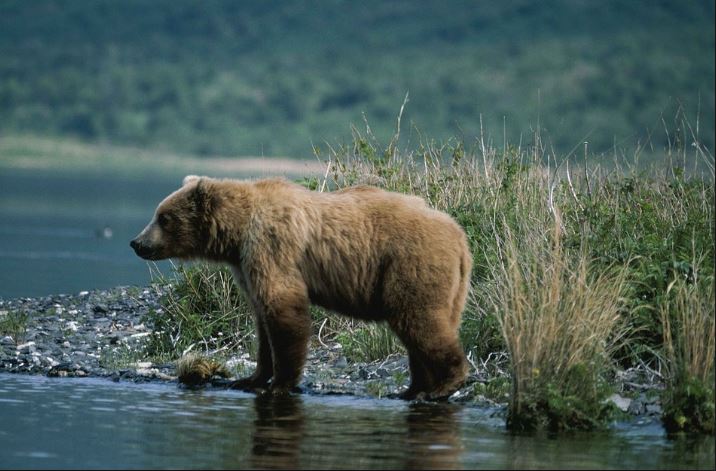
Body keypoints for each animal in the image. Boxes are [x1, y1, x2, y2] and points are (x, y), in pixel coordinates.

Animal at [131, 175, 472, 400]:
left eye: (164, 217)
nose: (137, 242)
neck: (236, 235)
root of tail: (459, 235)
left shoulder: (271, 246)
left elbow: (283, 309)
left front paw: (280, 383)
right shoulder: (245, 265)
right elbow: (262, 323)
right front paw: (251, 378)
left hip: (410, 264)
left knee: (419, 321)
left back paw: (445, 384)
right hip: (450, 285)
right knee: (425, 328)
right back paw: (412, 390)